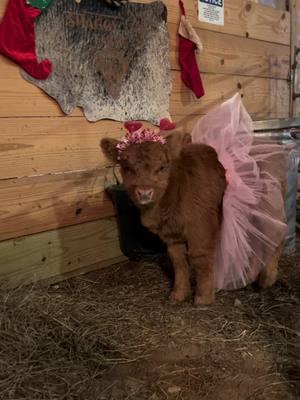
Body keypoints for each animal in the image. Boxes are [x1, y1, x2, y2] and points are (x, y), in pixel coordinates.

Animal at [100, 133, 225, 304]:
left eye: (162, 167)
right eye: (127, 168)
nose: (144, 192)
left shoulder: (201, 228)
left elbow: (200, 257)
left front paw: (203, 298)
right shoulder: (171, 235)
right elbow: (178, 262)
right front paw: (178, 294)